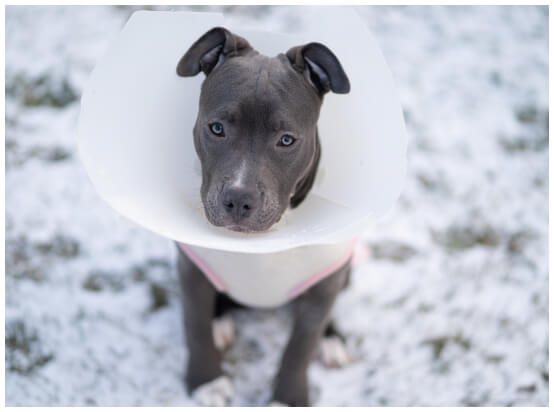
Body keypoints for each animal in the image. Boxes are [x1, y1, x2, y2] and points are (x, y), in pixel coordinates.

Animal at [176, 27, 350, 408]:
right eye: (216, 128)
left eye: (286, 140)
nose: (239, 199)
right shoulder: (190, 269)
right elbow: (195, 325)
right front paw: (207, 381)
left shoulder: (324, 286)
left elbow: (300, 346)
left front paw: (288, 399)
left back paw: (332, 340)